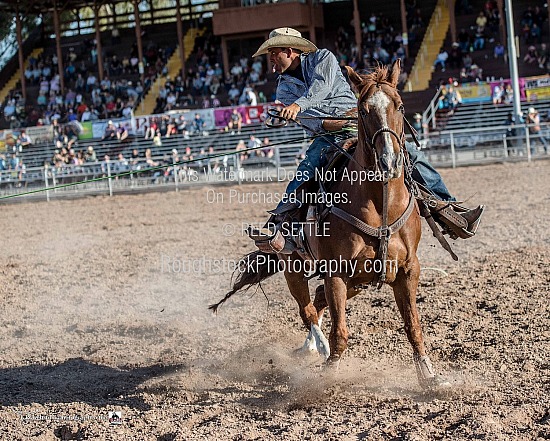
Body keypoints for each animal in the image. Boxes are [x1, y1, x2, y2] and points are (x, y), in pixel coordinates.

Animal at [210, 61, 448, 388]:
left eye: (399, 106)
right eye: (363, 110)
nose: (388, 161)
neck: (381, 205)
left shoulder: (408, 269)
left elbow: (413, 325)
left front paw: (430, 376)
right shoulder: (336, 271)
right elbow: (341, 332)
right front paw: (329, 372)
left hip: (358, 282)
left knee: (318, 299)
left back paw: (311, 346)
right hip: (294, 269)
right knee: (307, 309)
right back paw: (318, 346)